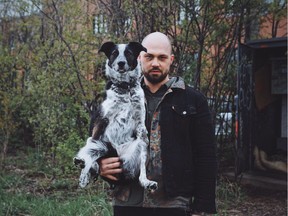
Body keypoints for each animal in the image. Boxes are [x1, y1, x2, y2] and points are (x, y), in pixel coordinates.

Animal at [72, 41, 158, 192]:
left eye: (129, 53)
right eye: (114, 53)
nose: (121, 63)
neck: (126, 87)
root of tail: (116, 152)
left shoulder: (141, 128)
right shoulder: (102, 120)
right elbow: (92, 143)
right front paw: (84, 174)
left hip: (140, 144)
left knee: (140, 170)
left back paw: (146, 182)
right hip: (99, 142)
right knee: (93, 152)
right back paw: (85, 167)